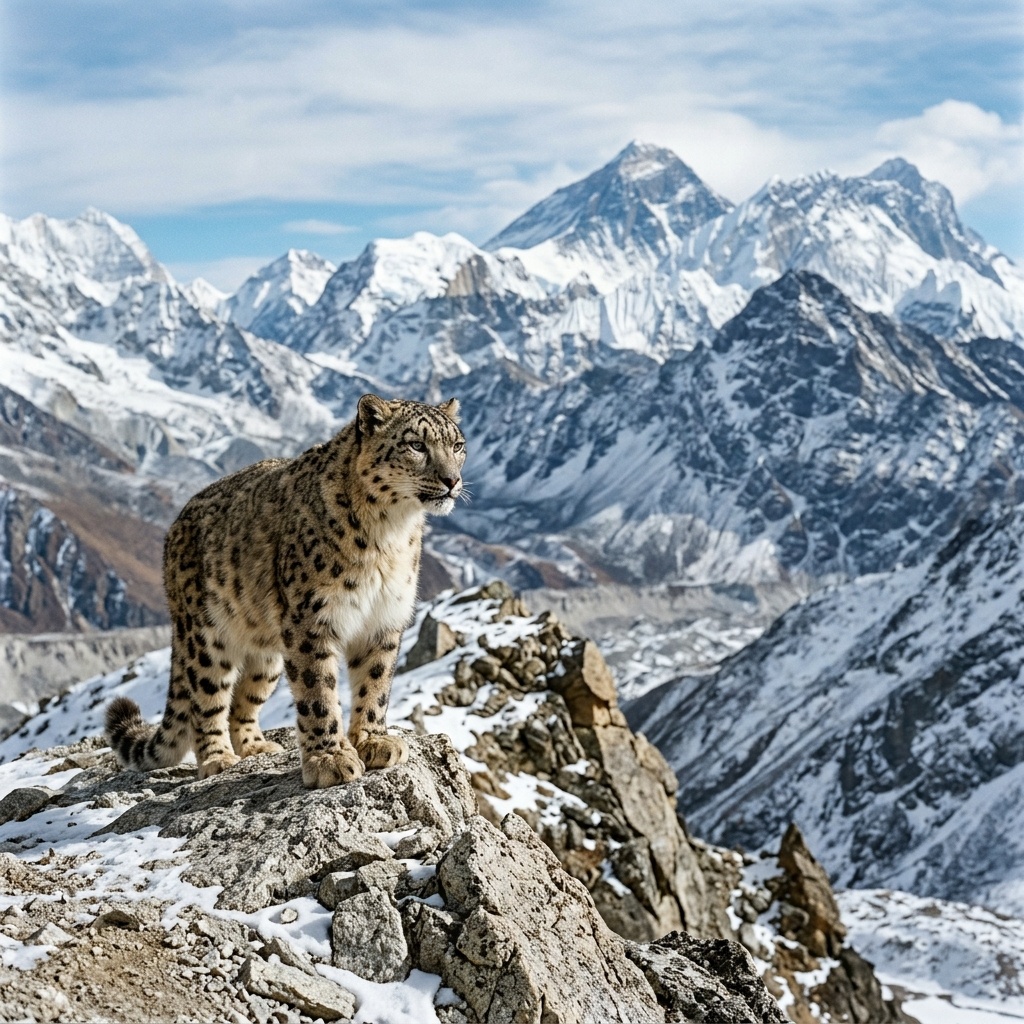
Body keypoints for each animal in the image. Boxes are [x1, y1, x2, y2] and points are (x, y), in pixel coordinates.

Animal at [105, 394, 465, 788]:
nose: (452, 480)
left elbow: (376, 685)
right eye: (416, 445)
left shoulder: (383, 619)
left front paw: (373, 742)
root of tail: (173, 529)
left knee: (243, 701)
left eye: (457, 445)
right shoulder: (313, 620)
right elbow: (318, 692)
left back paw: (256, 746)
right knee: (208, 698)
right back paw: (219, 759)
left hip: (267, 654)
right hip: (206, 637)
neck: (390, 535)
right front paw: (330, 760)